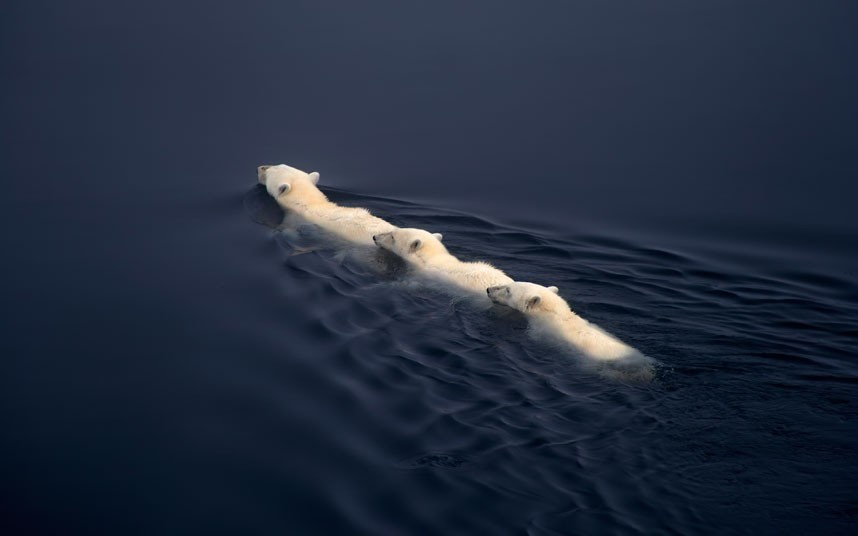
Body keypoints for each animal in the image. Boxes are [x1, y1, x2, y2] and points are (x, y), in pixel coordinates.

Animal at [256, 163, 396, 247]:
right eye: (278, 164)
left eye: (269, 171)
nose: (259, 167)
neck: (310, 203)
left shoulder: (295, 218)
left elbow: (289, 231)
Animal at [372, 227, 512, 300]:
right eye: (392, 232)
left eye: (392, 236)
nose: (374, 237)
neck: (432, 259)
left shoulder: (423, 277)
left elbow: (408, 284)